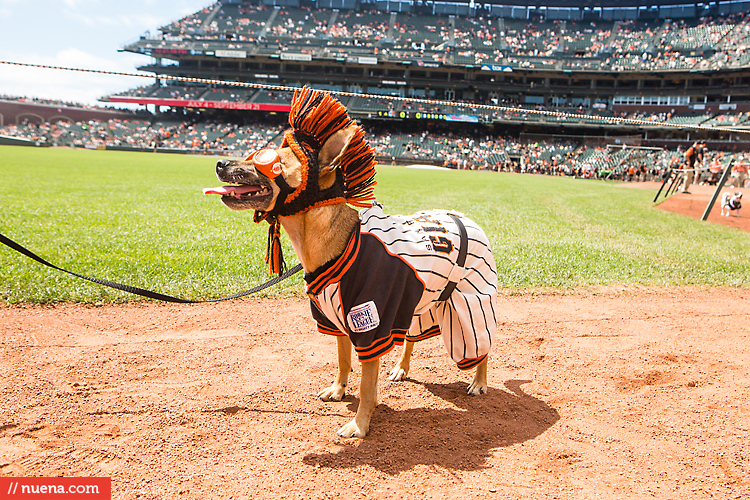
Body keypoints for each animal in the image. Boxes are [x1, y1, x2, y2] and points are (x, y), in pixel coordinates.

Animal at [204, 89, 500, 438]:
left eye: (266, 160)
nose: (220, 162)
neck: (334, 241)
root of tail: (462, 216)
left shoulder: (370, 326)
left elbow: (367, 386)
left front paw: (360, 424)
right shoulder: (337, 320)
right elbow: (343, 361)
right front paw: (338, 389)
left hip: (470, 306)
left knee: (480, 346)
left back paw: (479, 381)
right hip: (419, 303)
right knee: (410, 342)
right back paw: (401, 369)